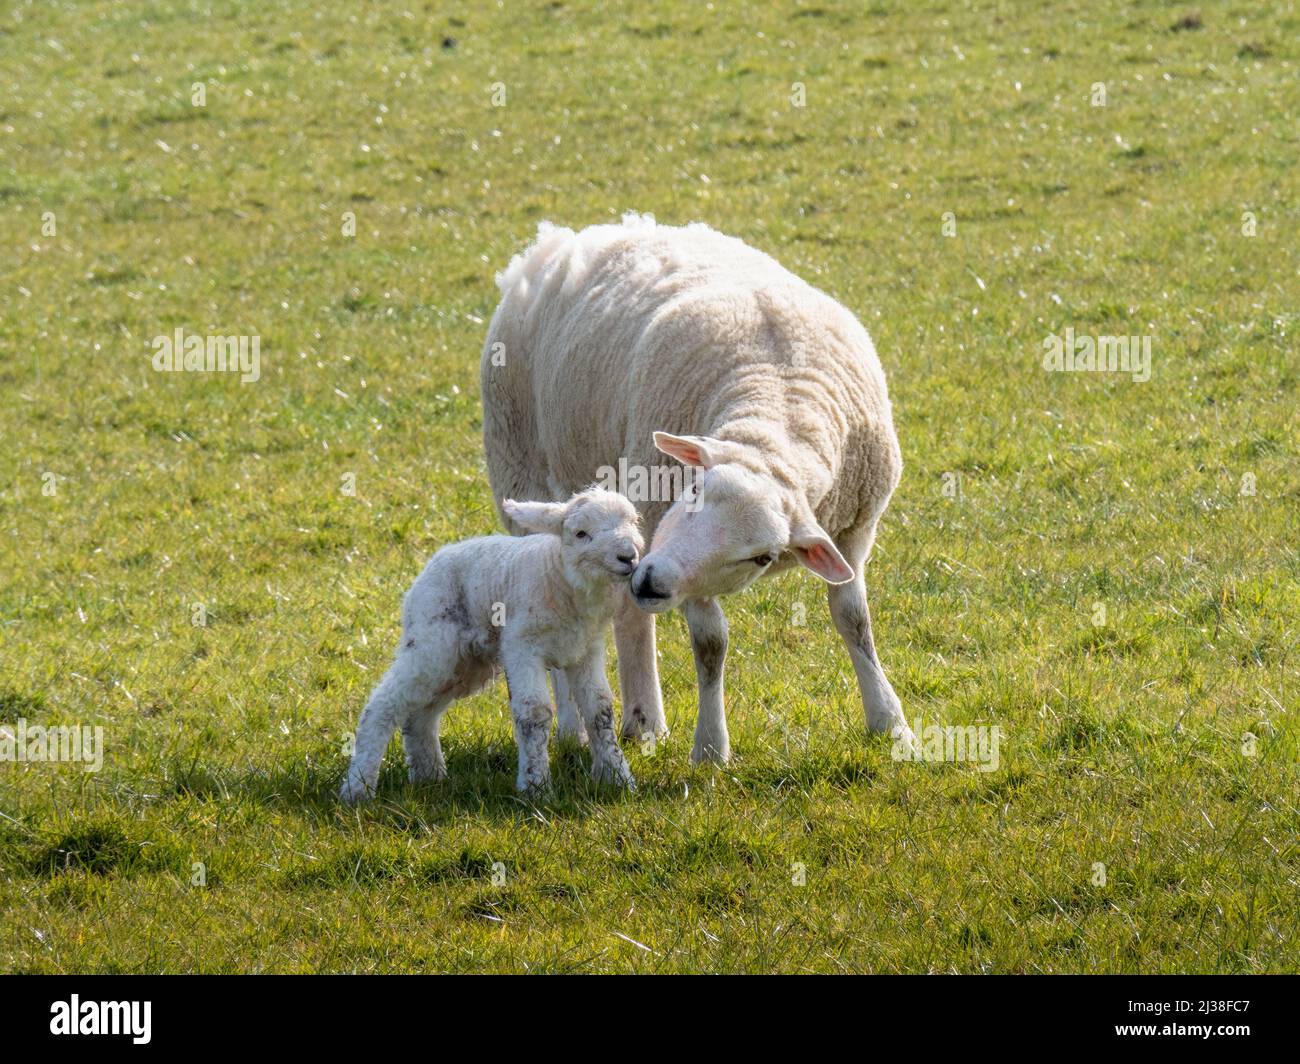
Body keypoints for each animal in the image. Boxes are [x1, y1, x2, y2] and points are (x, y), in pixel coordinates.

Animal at [335, 483, 639, 801]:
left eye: (633, 522)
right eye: (581, 533)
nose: (628, 556)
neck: (560, 578)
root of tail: (427, 568)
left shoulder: (585, 650)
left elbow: (600, 710)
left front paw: (617, 779)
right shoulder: (521, 646)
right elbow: (535, 713)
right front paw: (536, 787)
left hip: (464, 661)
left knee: (420, 715)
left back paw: (429, 775)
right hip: (431, 642)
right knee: (383, 704)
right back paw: (357, 789)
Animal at [478, 213, 915, 764]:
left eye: (762, 557)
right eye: (691, 494)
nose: (651, 581)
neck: (778, 408)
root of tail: (574, 237)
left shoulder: (856, 533)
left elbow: (854, 620)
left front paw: (891, 723)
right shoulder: (665, 536)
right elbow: (711, 643)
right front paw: (710, 747)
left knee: (627, 613)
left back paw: (640, 720)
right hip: (526, 471)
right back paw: (597, 727)